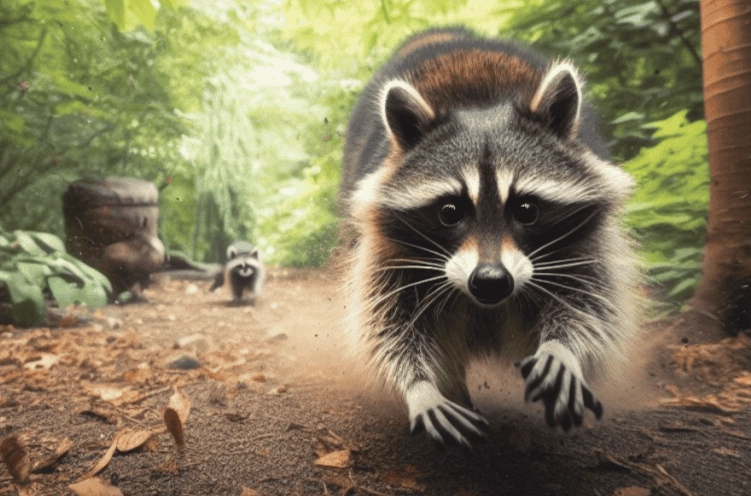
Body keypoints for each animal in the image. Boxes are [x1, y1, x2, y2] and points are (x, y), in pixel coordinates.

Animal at [340, 28, 638, 447]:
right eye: (450, 212)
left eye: (526, 209)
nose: (491, 280)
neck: (480, 107)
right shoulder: (389, 249)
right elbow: (388, 326)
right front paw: (420, 387)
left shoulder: (586, 239)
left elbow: (591, 305)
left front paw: (562, 349)